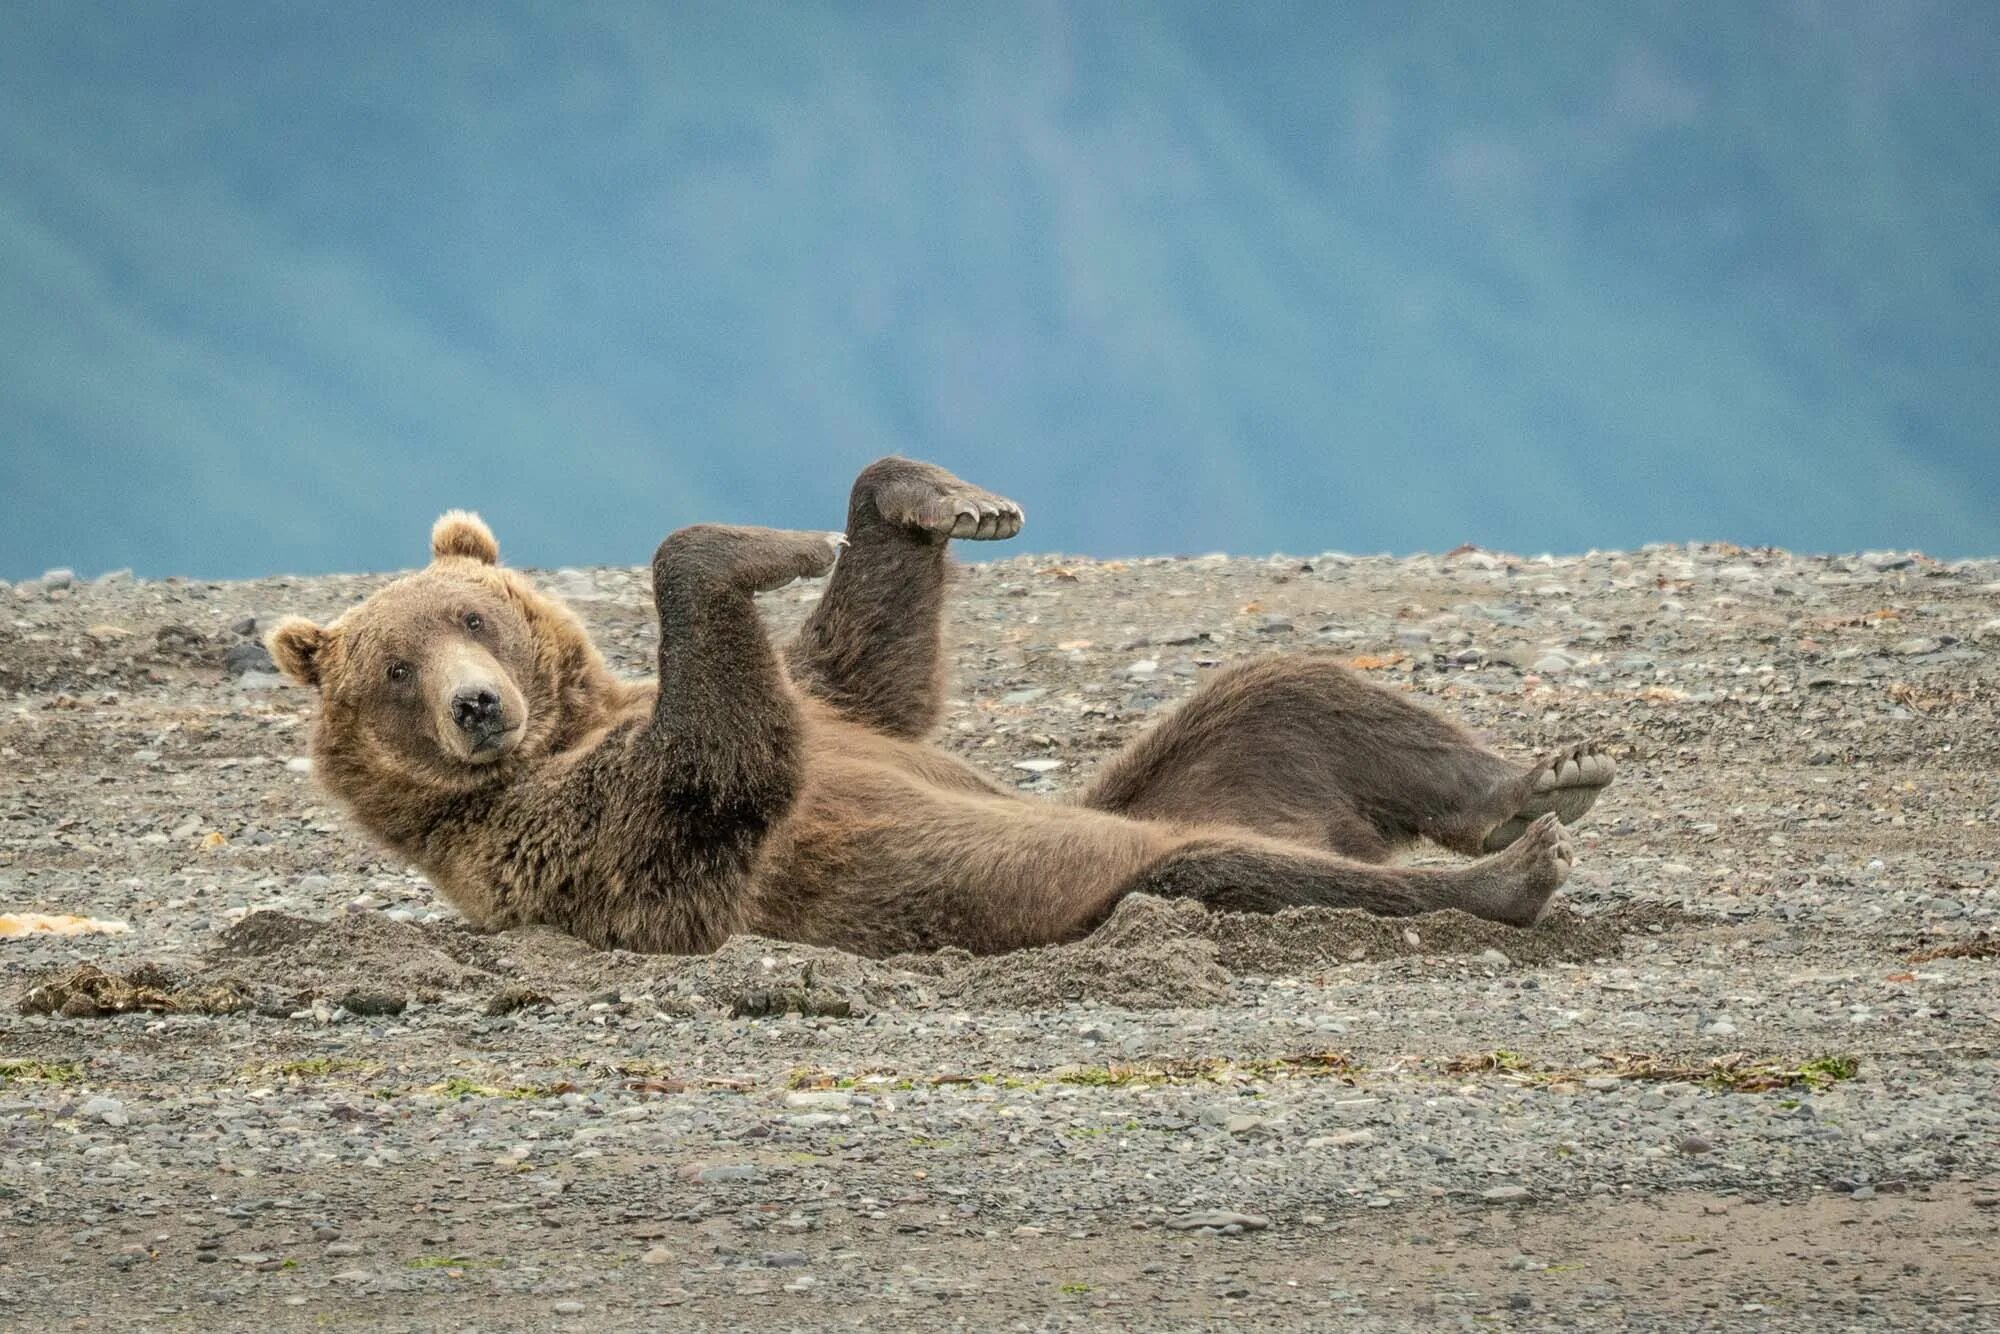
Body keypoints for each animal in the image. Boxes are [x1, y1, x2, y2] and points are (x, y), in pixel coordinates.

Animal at [266, 462, 1616, 960]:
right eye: (392, 669)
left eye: (472, 615)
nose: (478, 706)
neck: (571, 726)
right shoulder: (564, 836)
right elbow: (721, 766)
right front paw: (758, 542)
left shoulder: (834, 705)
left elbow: (865, 666)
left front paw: (942, 502)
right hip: (1097, 870)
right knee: (1236, 866)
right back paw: (1507, 875)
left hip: (1212, 764)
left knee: (1285, 691)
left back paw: (1538, 781)